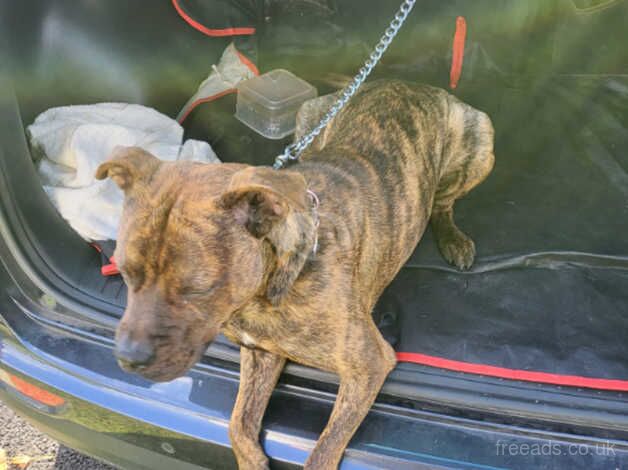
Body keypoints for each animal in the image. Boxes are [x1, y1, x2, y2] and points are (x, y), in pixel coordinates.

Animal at [95, 81, 494, 470]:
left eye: (198, 289)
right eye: (125, 273)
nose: (127, 359)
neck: (266, 290)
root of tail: (413, 84)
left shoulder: (369, 364)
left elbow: (323, 451)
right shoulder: (261, 353)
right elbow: (237, 423)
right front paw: (252, 458)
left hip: (480, 136)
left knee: (443, 201)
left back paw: (453, 238)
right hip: (309, 115)